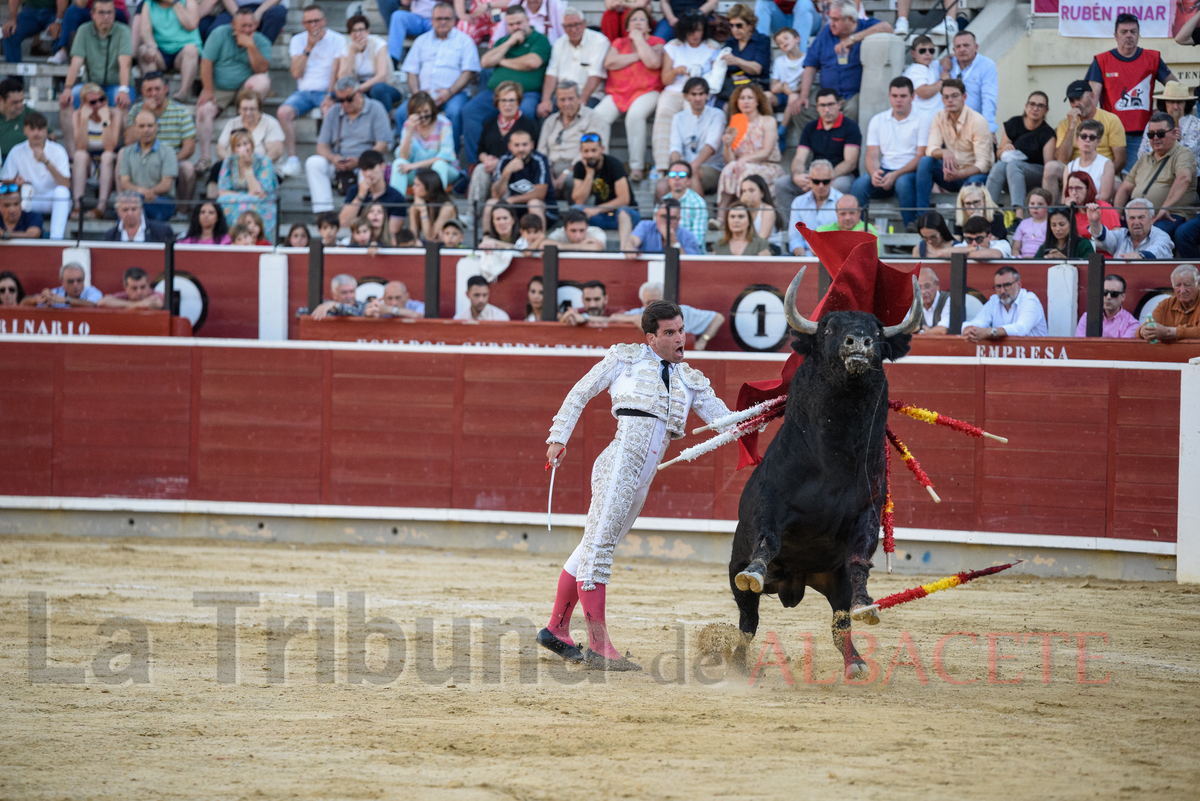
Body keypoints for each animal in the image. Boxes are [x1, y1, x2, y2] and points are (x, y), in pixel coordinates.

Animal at [729, 267, 916, 676]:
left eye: (878, 330)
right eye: (829, 328)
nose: (859, 341)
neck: (833, 460)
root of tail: (794, 584)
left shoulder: (867, 514)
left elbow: (860, 558)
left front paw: (866, 604)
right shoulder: (771, 502)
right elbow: (768, 538)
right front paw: (755, 571)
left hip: (833, 582)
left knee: (839, 624)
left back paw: (856, 662)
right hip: (734, 569)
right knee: (748, 623)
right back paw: (737, 663)